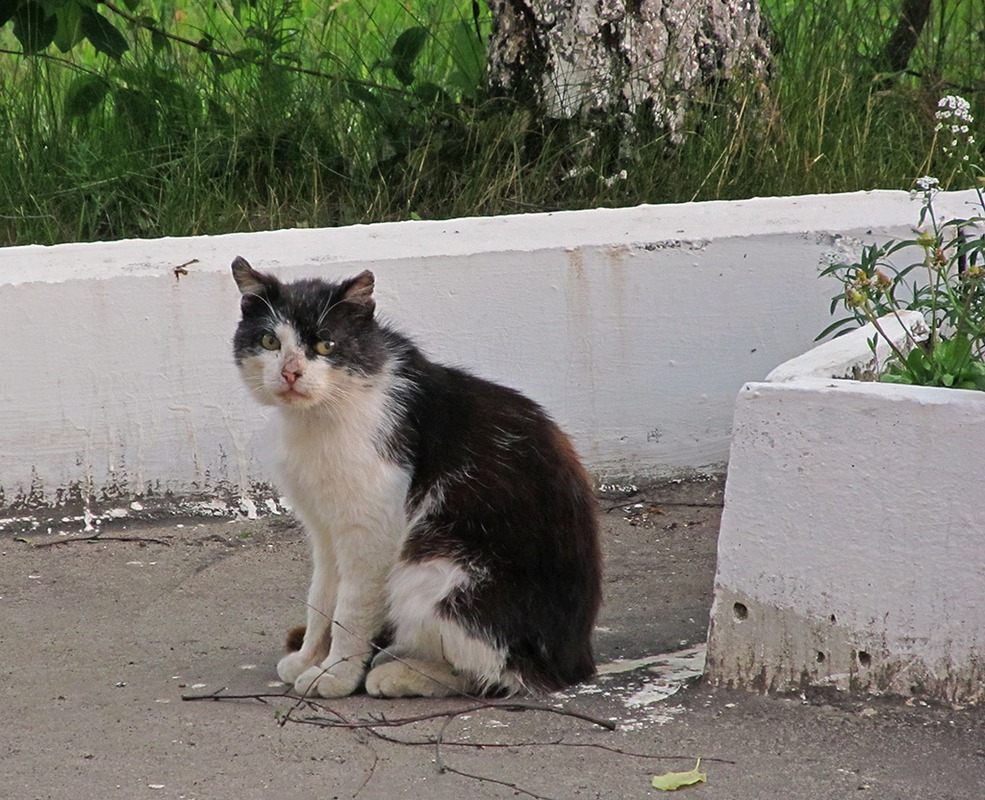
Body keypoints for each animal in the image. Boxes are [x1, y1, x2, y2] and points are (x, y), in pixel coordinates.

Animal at [233, 260, 600, 696]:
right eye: (270, 341)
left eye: (326, 346)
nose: (290, 373)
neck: (320, 416)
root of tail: (576, 664)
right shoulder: (324, 527)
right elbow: (321, 598)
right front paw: (309, 658)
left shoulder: (373, 531)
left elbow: (351, 611)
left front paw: (336, 673)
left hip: (431, 570)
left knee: (495, 673)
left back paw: (399, 673)